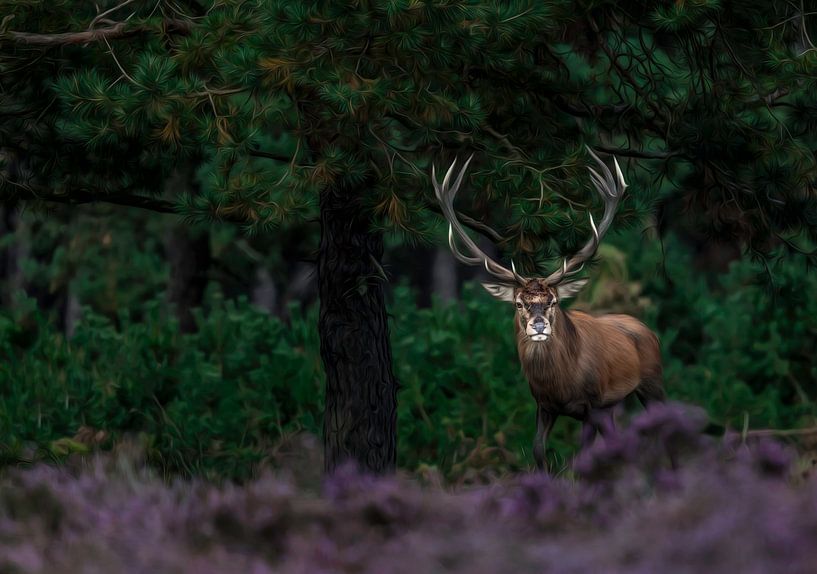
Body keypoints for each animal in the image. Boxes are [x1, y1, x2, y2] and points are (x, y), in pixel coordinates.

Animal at [431, 150, 665, 471]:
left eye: (554, 300)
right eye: (518, 303)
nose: (539, 325)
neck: (561, 384)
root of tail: (647, 330)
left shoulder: (592, 403)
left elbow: (582, 456)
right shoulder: (544, 405)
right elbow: (538, 450)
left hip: (652, 381)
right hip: (614, 403)